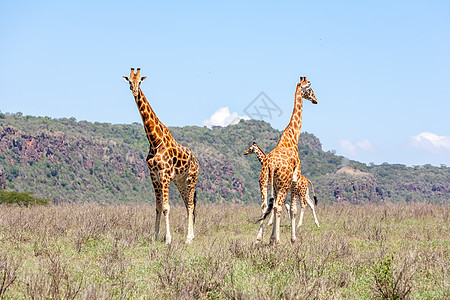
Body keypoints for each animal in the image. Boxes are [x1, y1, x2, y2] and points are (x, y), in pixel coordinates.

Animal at [124, 68, 200, 244]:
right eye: (129, 81)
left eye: (140, 82)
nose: (134, 91)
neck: (154, 140)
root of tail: (197, 161)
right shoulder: (154, 175)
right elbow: (158, 207)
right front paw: (155, 236)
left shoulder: (164, 174)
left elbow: (166, 207)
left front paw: (168, 239)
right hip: (180, 182)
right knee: (187, 205)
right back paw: (191, 236)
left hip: (191, 179)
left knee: (191, 205)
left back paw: (188, 238)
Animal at [256, 77, 316, 244]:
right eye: (310, 89)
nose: (316, 100)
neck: (292, 137)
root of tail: (270, 164)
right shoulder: (294, 180)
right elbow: (293, 209)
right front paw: (292, 238)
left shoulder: (276, 185)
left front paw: (270, 238)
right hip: (283, 185)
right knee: (277, 206)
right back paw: (278, 241)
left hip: (264, 181)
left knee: (265, 205)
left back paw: (259, 238)